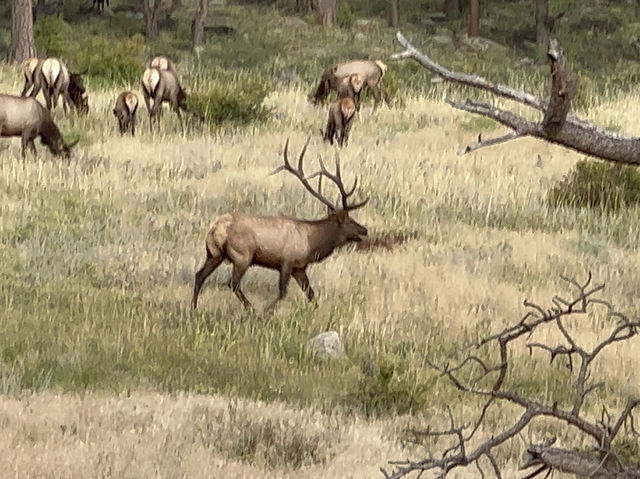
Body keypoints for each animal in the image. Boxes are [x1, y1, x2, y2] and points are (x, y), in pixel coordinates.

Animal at [190, 137, 368, 314]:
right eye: (350, 220)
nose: (364, 230)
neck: (312, 244)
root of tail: (216, 229)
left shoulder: (299, 268)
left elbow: (311, 294)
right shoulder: (287, 261)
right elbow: (283, 292)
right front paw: (266, 311)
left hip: (214, 254)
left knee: (199, 275)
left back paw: (193, 308)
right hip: (242, 255)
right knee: (232, 283)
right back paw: (251, 309)